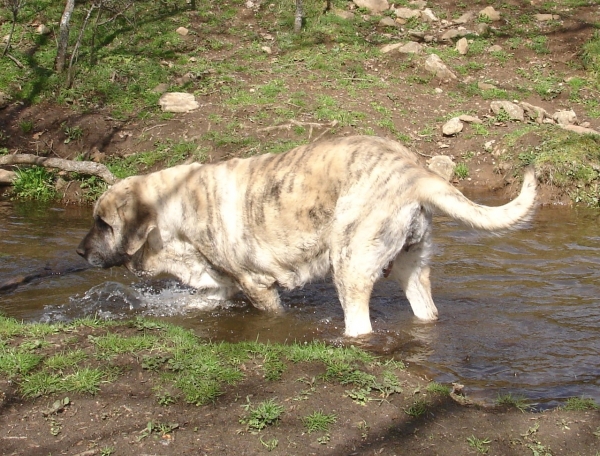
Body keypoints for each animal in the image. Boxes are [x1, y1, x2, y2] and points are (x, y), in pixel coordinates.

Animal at [77, 134, 536, 334]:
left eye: (103, 224)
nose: (80, 252)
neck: (175, 208)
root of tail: (413, 170)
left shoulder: (256, 285)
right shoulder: (220, 284)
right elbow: (195, 300)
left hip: (349, 266)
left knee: (359, 324)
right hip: (411, 268)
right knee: (426, 310)